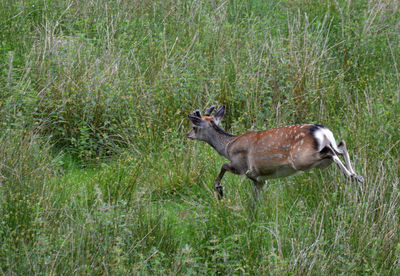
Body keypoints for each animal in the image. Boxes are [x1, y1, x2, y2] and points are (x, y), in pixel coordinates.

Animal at [186, 104, 364, 202]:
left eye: (194, 127)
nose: (188, 134)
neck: (227, 147)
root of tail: (321, 131)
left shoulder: (242, 166)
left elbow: (223, 166)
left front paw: (219, 189)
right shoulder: (259, 178)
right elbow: (255, 198)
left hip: (302, 159)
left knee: (330, 151)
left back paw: (351, 176)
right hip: (321, 157)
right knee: (341, 145)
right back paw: (357, 176)